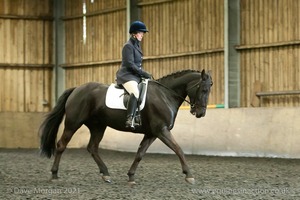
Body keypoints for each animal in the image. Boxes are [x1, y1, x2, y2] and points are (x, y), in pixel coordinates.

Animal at [39, 69, 213, 184]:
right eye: (204, 89)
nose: (200, 113)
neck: (165, 95)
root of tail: (77, 89)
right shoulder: (162, 130)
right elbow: (178, 149)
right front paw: (189, 175)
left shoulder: (152, 133)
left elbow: (140, 154)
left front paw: (131, 176)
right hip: (73, 123)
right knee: (62, 145)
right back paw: (54, 175)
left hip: (98, 126)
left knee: (92, 148)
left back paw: (106, 174)